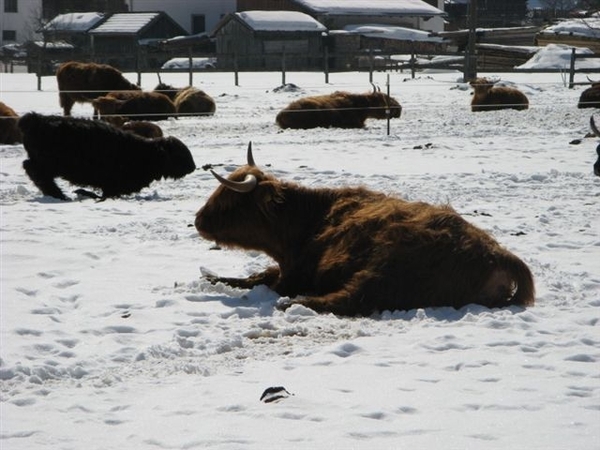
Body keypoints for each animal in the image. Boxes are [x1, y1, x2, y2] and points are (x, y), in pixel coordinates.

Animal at [18, 112, 196, 200]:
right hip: (48, 164)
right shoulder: (111, 184)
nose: (193, 167)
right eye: (180, 154)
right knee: (35, 171)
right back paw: (59, 195)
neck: (145, 152)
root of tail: (34, 119)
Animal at [196, 144, 536, 316]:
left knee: (350, 299)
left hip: (383, 270)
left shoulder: (295, 275)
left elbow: (264, 282)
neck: (309, 221)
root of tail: (497, 253)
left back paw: (294, 304)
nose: (198, 220)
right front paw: (210, 276)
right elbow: (255, 276)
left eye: (230, 203)